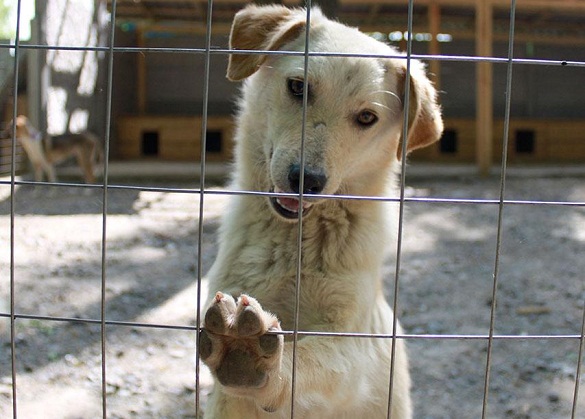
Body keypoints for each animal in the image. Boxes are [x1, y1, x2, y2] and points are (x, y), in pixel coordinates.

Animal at [198, 4, 440, 418]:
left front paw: (251, 358)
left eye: (366, 118)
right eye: (298, 87)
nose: (306, 180)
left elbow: (307, 358)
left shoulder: (351, 346)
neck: (295, 242)